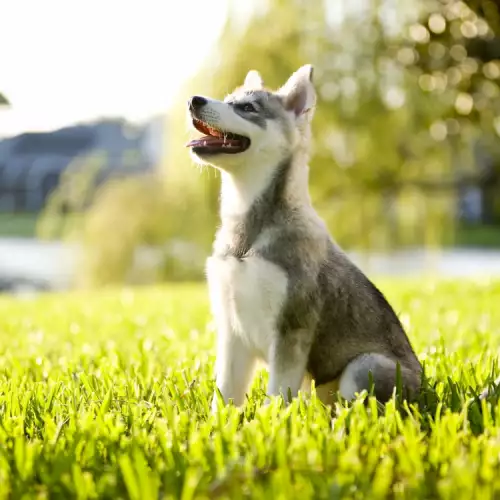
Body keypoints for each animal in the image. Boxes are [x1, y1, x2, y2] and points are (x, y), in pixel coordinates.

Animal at [187, 64, 422, 412]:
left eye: (248, 107)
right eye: (228, 100)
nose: (194, 100)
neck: (248, 233)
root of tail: (426, 387)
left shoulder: (291, 330)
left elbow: (277, 395)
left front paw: (271, 423)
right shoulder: (232, 331)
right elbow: (225, 396)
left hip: (364, 367)